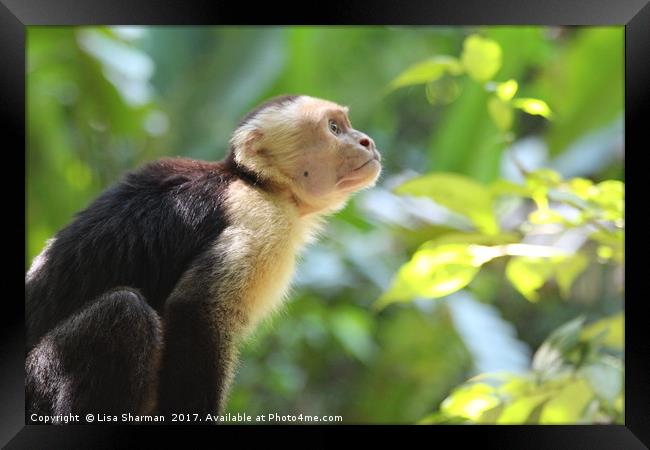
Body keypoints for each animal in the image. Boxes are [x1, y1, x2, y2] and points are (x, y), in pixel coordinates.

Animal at [25, 95, 380, 422]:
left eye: (345, 124)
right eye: (334, 128)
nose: (367, 141)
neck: (256, 183)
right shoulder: (257, 218)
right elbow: (196, 312)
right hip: (37, 384)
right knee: (125, 313)